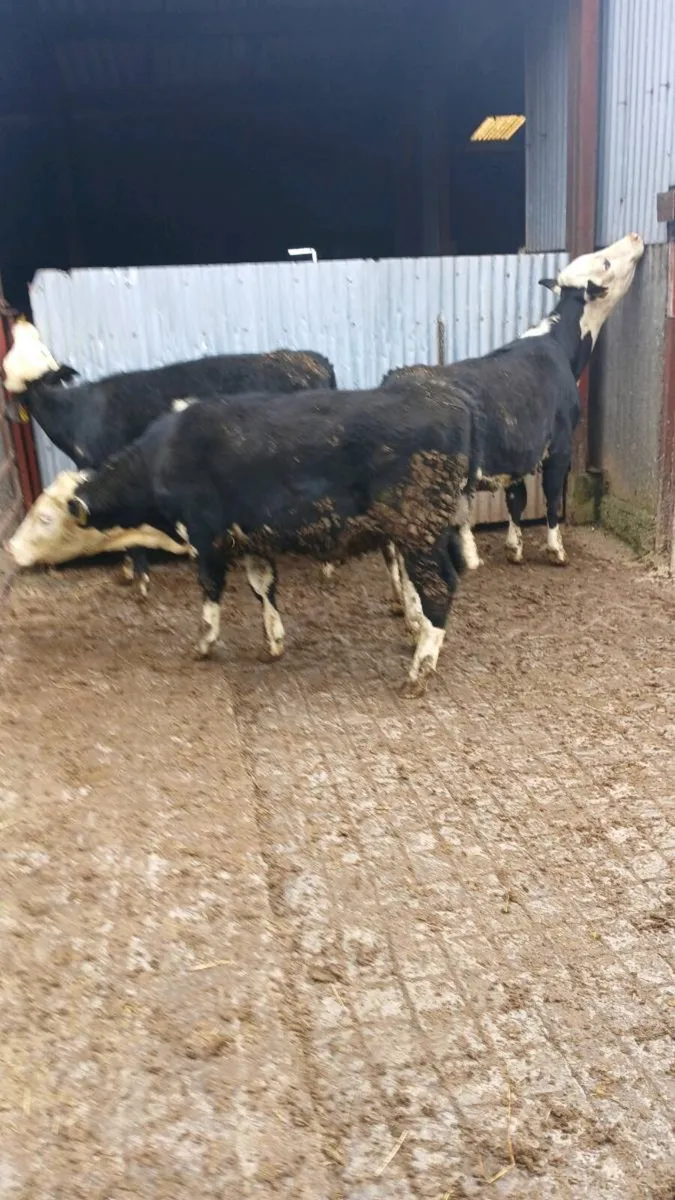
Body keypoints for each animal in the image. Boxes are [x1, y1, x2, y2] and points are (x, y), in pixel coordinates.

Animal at [55, 379, 475, 697]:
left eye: (50, 519)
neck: (162, 456)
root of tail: (447, 399)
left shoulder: (205, 539)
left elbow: (211, 592)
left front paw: (204, 644)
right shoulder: (251, 540)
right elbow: (263, 587)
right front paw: (273, 643)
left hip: (420, 531)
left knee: (439, 588)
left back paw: (418, 673)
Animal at [382, 233, 644, 579]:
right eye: (605, 262)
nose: (635, 236)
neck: (558, 344)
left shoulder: (519, 448)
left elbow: (516, 499)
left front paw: (514, 548)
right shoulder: (559, 446)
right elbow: (551, 497)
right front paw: (556, 551)